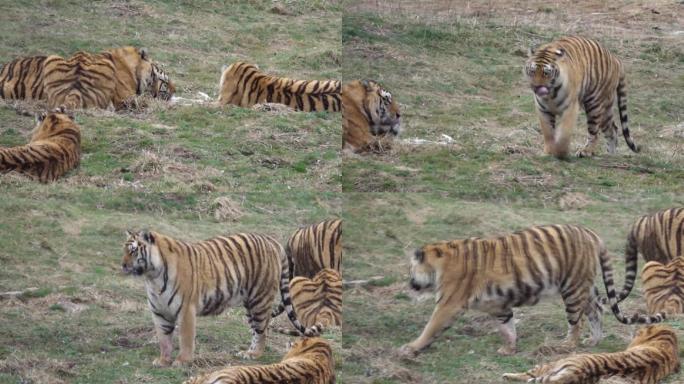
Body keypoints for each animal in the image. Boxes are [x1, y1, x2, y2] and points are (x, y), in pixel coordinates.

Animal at [122, 230, 320, 368]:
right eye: (124, 250)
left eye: (133, 251)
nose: (122, 265)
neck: (152, 277)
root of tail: (272, 241)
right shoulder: (159, 312)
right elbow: (164, 340)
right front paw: (163, 361)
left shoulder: (186, 310)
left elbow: (185, 339)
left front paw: (183, 361)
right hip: (250, 304)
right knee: (256, 330)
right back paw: (246, 352)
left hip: (260, 300)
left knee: (262, 330)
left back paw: (254, 354)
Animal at [398, 222, 664, 356]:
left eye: (410, 269)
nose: (410, 284)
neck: (439, 261)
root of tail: (591, 232)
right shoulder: (498, 306)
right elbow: (508, 328)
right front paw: (509, 348)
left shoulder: (448, 303)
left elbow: (431, 326)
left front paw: (411, 347)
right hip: (583, 286)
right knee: (596, 310)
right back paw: (594, 341)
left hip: (572, 289)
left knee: (576, 322)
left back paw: (566, 346)